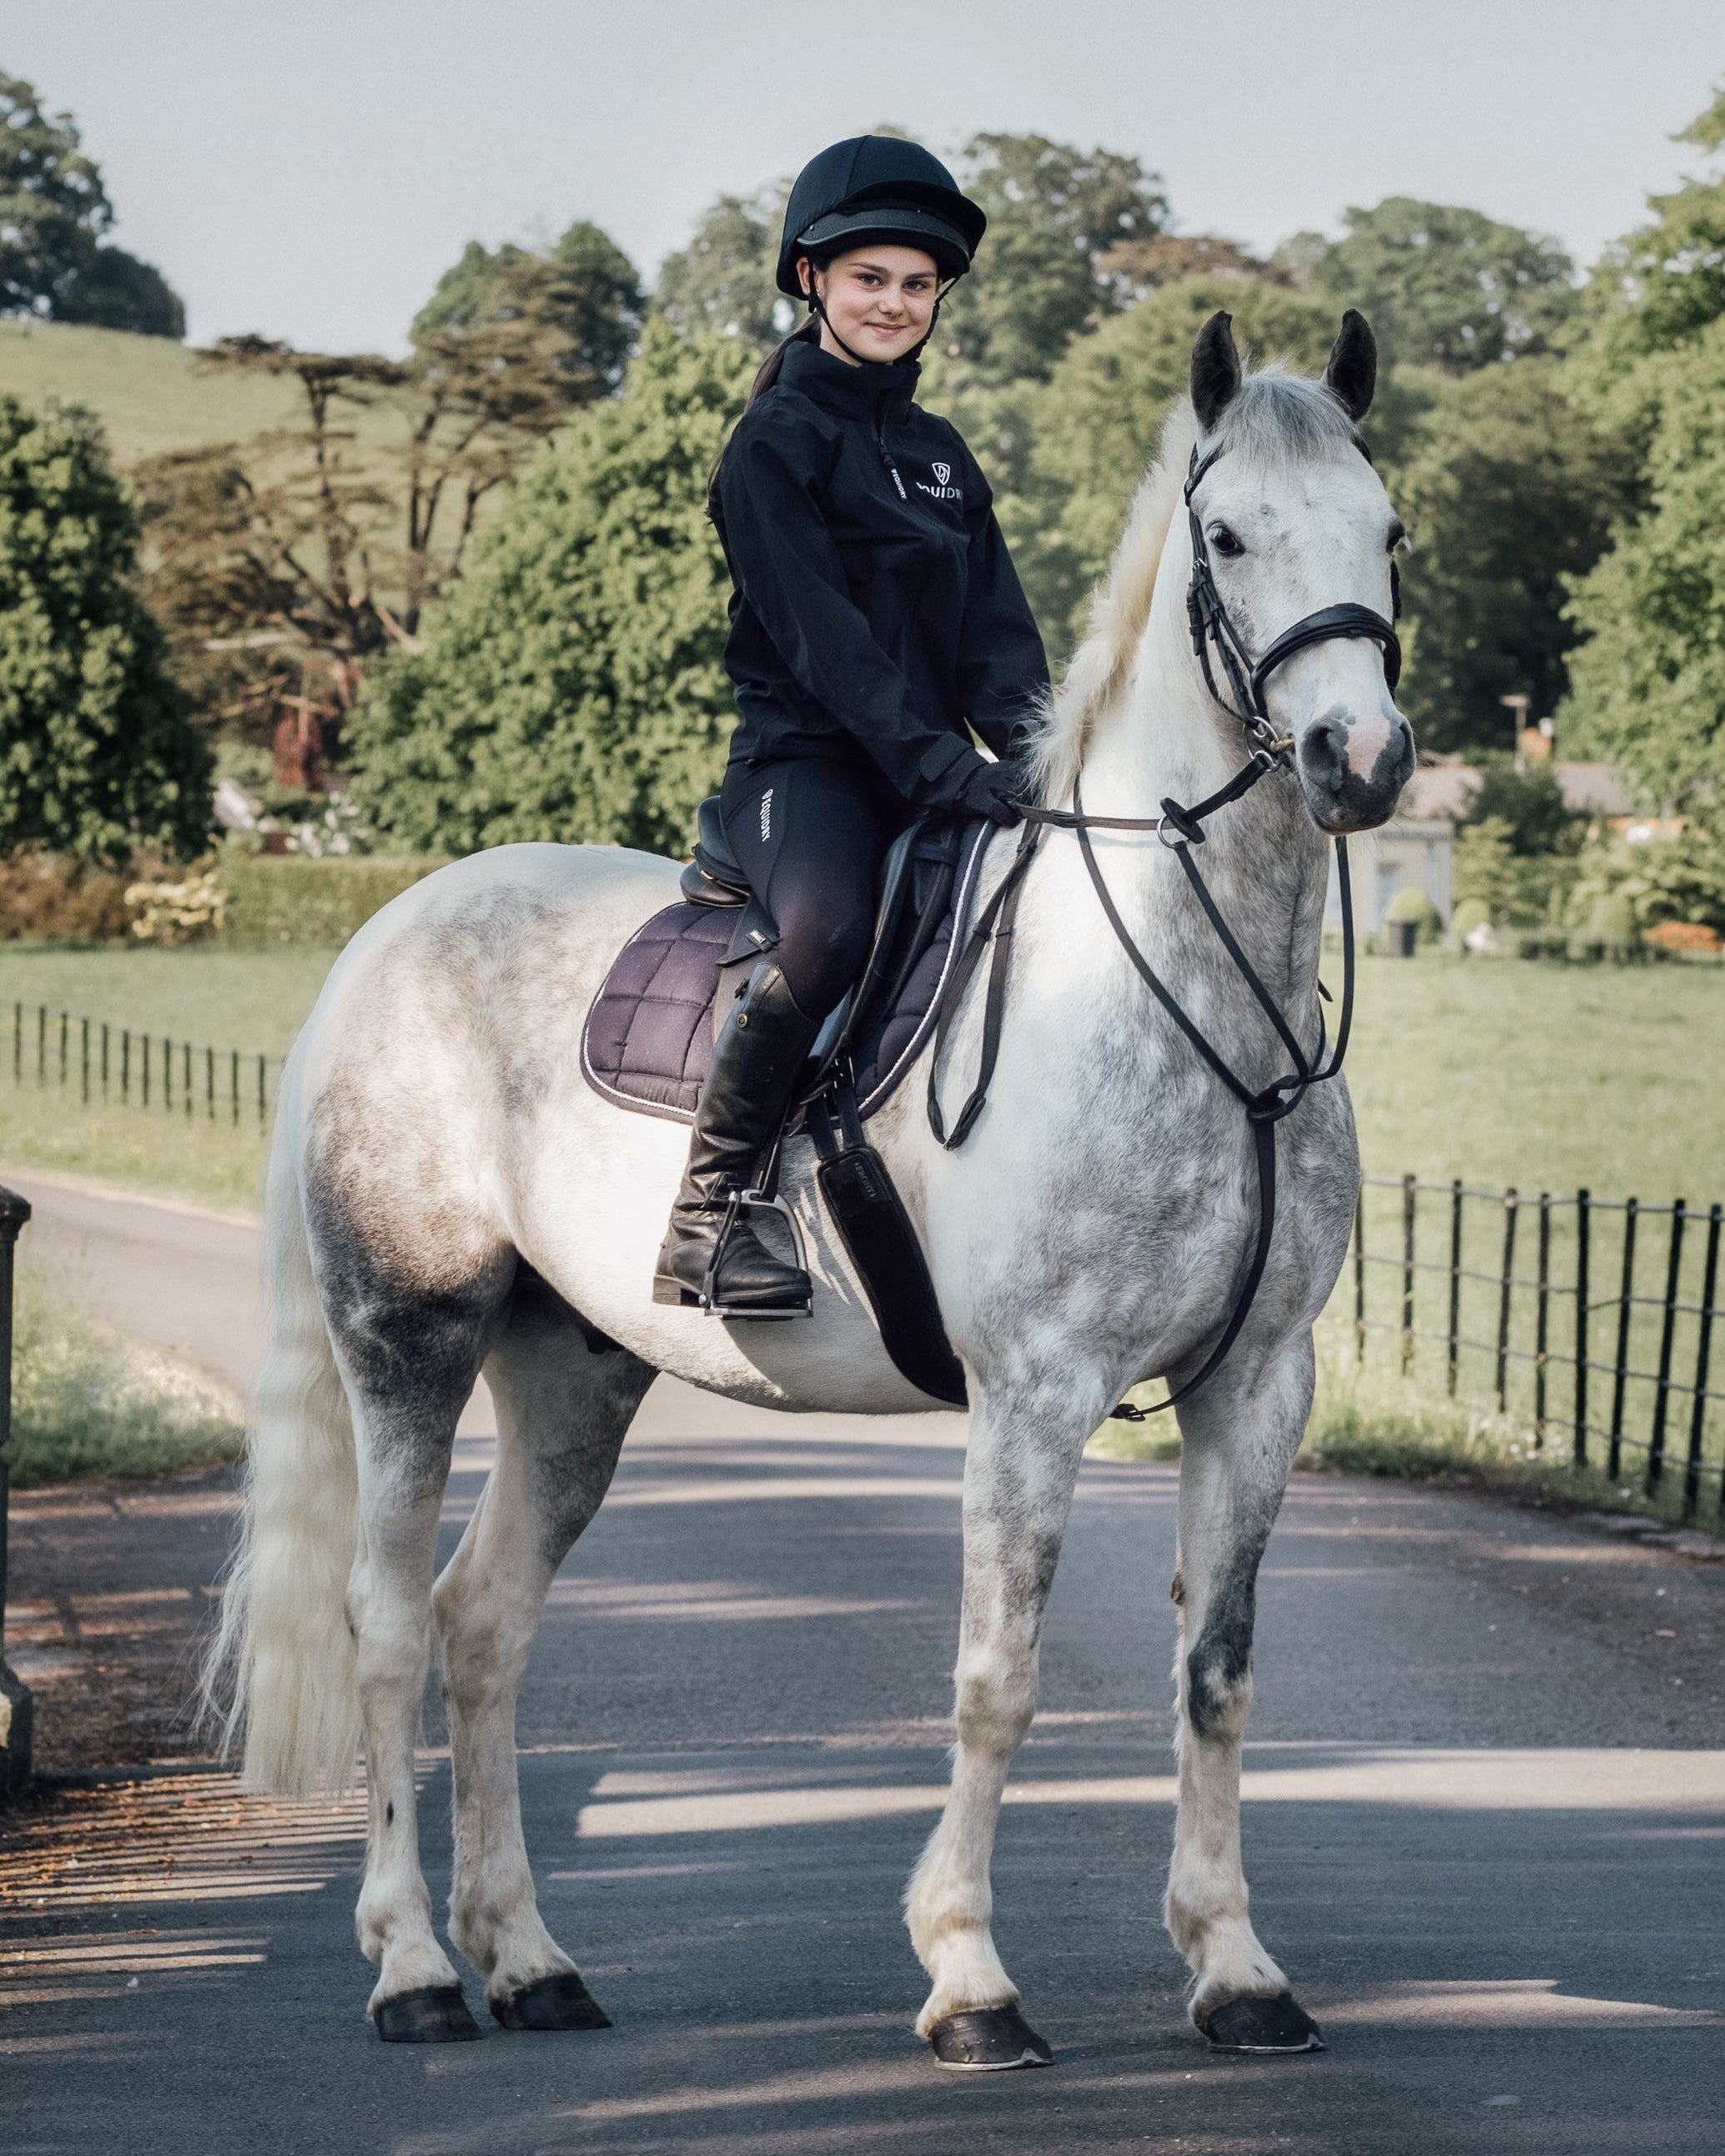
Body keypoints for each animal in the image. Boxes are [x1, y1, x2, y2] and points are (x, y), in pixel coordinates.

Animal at [204, 309, 1414, 2062]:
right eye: (1231, 538)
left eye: (1388, 534)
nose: (1357, 760)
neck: (1188, 983)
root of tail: (387, 928)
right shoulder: (1035, 1393)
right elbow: (999, 1679)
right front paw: (968, 1975)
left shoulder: (1256, 1385)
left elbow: (1215, 1674)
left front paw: (1236, 1968)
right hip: (407, 1341)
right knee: (384, 1625)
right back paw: (417, 1970)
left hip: (575, 1371)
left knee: (481, 1625)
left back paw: (530, 1961)